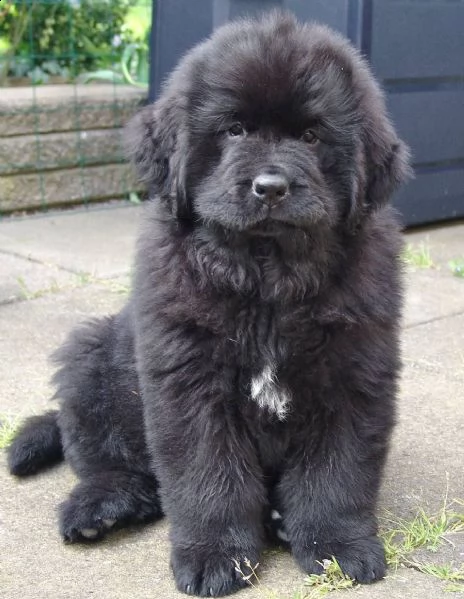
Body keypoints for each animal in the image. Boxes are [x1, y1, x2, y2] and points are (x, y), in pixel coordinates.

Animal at [9, 10, 410, 599]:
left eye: (311, 136)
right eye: (234, 130)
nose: (271, 186)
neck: (267, 278)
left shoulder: (353, 372)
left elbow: (336, 471)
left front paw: (338, 546)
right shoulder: (189, 381)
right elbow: (208, 476)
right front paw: (215, 556)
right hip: (90, 357)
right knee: (108, 460)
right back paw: (101, 508)